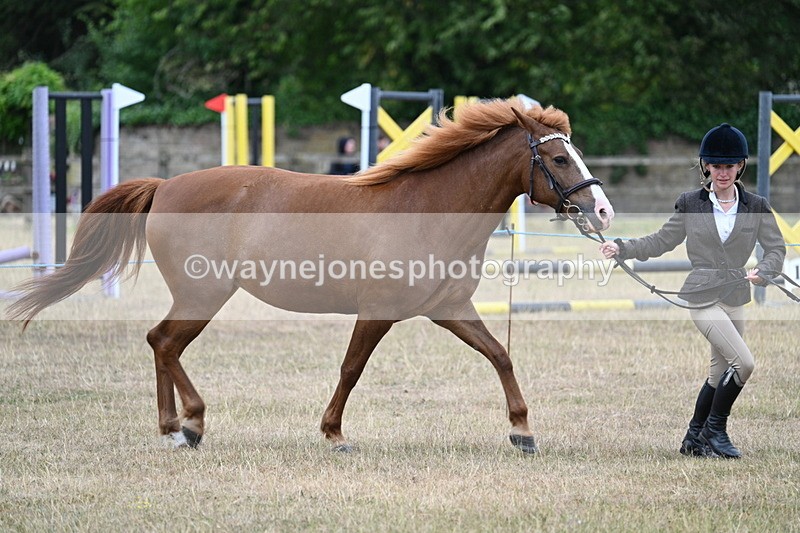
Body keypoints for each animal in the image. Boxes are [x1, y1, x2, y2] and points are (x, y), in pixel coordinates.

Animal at [7, 98, 614, 453]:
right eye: (560, 160)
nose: (604, 212)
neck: (427, 207)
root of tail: (166, 186)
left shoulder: (448, 310)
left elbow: (500, 355)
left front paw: (522, 431)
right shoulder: (379, 312)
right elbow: (351, 369)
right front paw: (333, 433)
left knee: (162, 343)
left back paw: (173, 428)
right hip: (204, 293)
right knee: (163, 341)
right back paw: (190, 423)